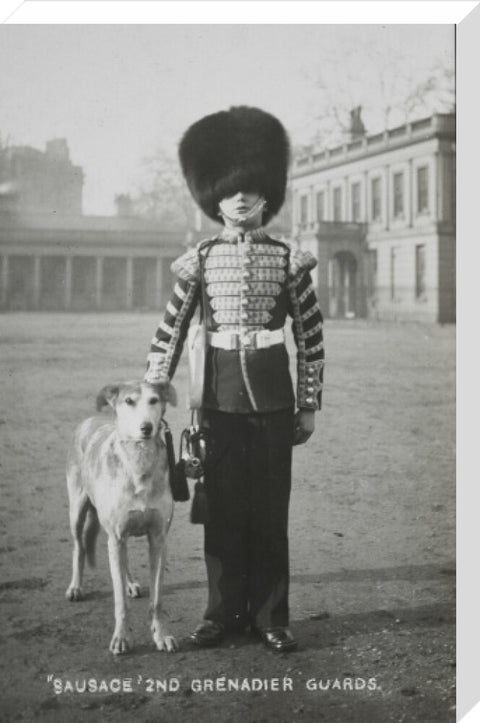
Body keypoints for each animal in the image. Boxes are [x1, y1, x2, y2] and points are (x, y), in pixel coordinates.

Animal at [66, 378, 179, 656]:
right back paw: (76, 587)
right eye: (129, 401)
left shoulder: (158, 539)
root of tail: (91, 419)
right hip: (77, 510)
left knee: (122, 559)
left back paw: (130, 583)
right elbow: (120, 602)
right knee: (79, 547)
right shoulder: (116, 535)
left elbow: (157, 600)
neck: (139, 462)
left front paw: (161, 635)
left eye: (154, 400)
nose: (146, 428)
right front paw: (121, 638)